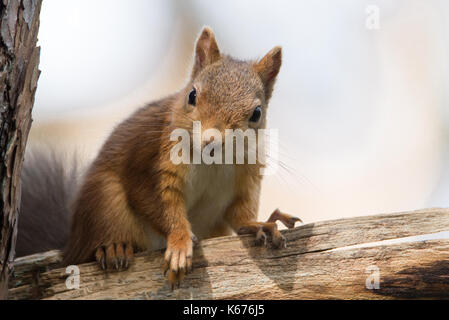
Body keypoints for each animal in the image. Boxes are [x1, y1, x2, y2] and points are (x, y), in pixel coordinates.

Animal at [17, 27, 300, 288]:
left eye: (257, 113)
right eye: (192, 95)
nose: (211, 140)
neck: (212, 163)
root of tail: (70, 244)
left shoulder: (246, 177)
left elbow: (240, 213)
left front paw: (260, 224)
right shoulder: (152, 165)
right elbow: (161, 207)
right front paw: (179, 244)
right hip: (104, 200)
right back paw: (114, 247)